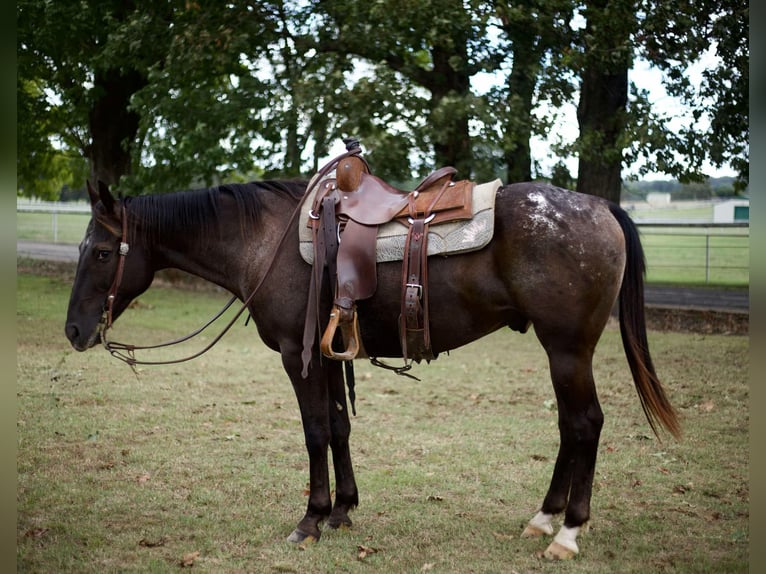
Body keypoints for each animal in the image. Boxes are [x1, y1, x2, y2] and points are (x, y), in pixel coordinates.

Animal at [65, 176, 680, 560]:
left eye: (102, 252)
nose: (73, 331)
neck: (266, 240)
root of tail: (599, 206)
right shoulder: (331, 355)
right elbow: (340, 427)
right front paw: (342, 511)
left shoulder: (297, 356)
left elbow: (315, 432)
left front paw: (310, 519)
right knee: (569, 429)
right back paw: (544, 517)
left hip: (568, 349)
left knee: (584, 424)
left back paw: (567, 532)